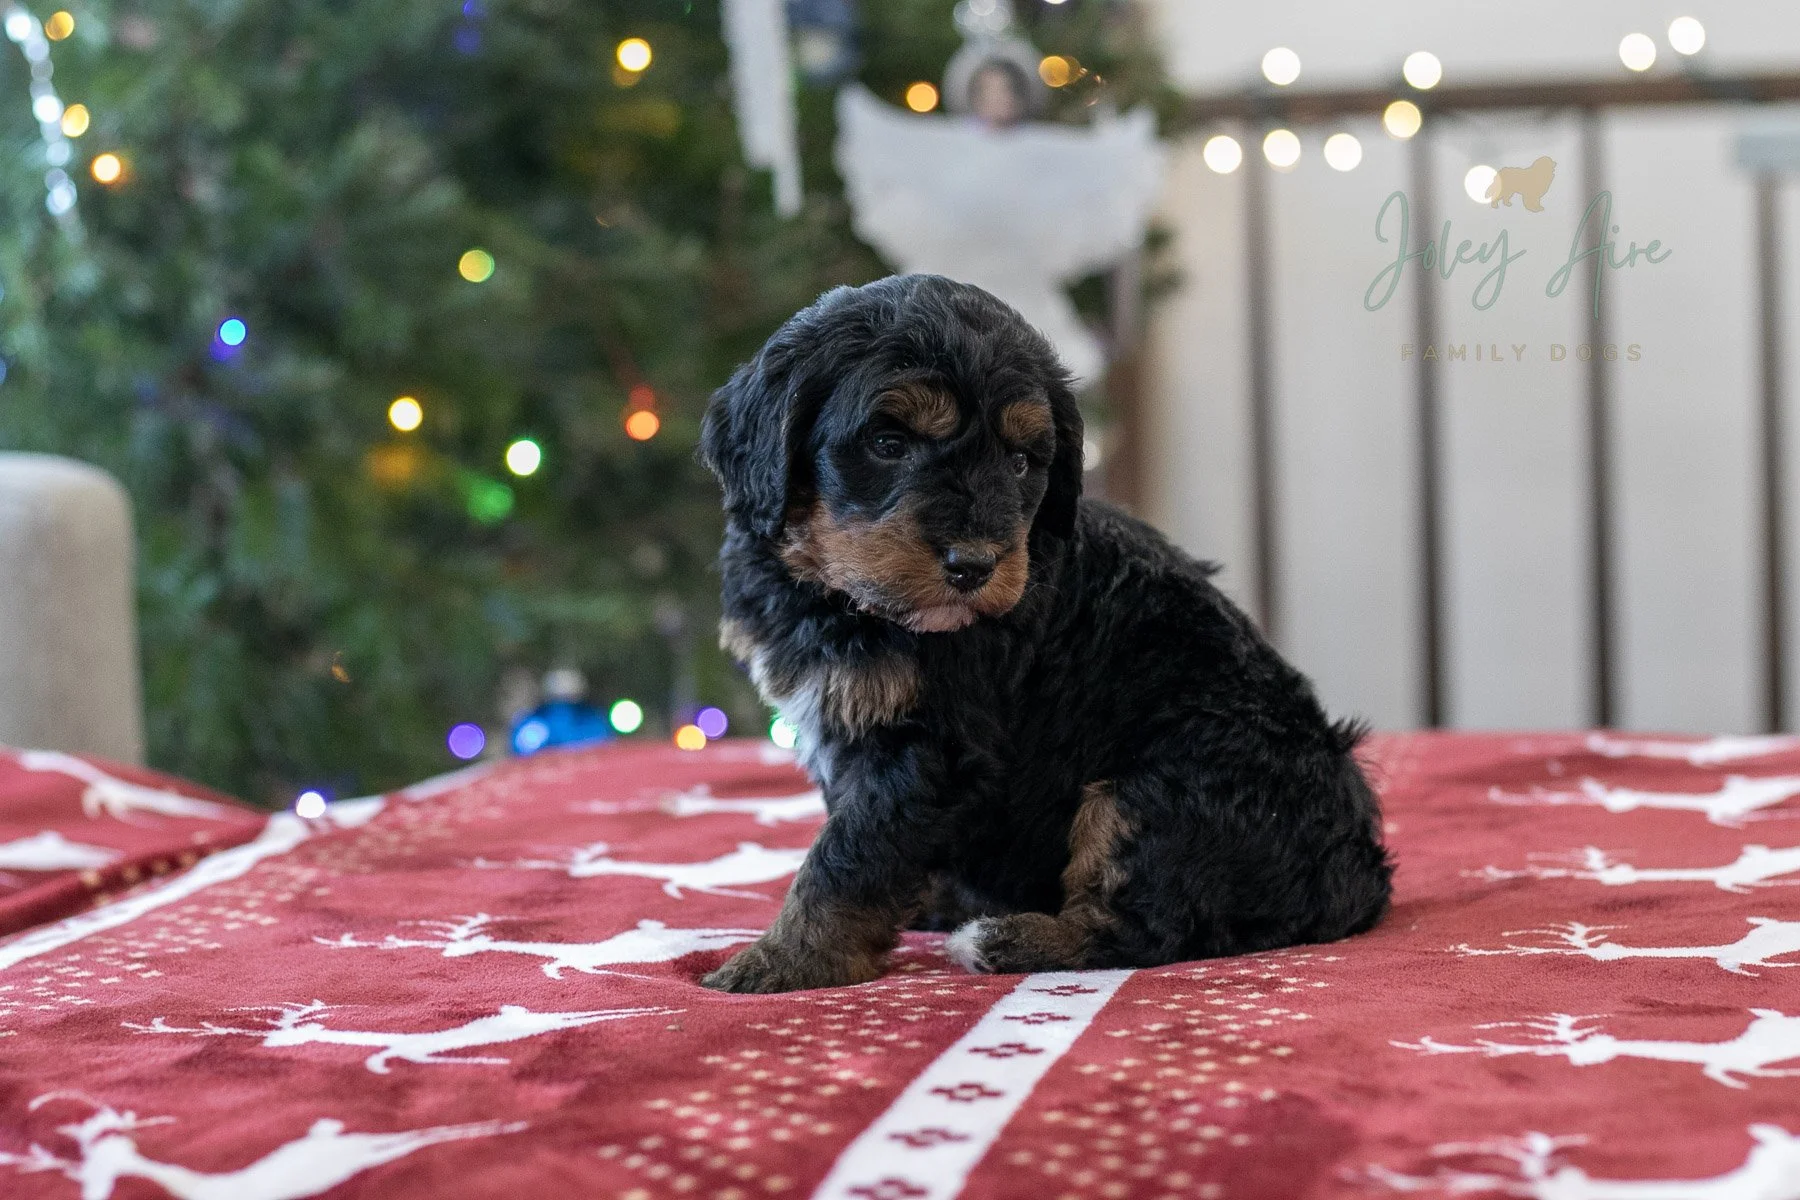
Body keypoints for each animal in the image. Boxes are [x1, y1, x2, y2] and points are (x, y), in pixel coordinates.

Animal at [697, 275, 1391, 993]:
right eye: (888, 444)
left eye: (1023, 461)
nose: (974, 566)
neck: (842, 599)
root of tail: (1359, 881)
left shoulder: (928, 748)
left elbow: (847, 855)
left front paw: (783, 960)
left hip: (1165, 788)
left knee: (1143, 925)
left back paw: (1005, 938)